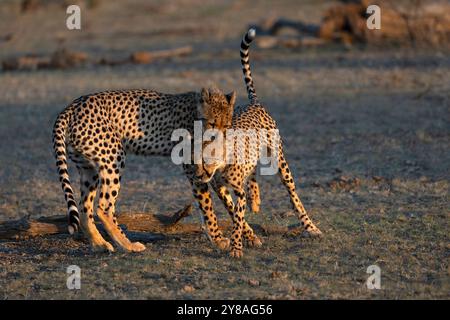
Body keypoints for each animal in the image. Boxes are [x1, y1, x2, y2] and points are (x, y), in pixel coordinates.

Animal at [52, 87, 236, 252]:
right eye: (212, 123)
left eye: (226, 125)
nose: (218, 139)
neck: (195, 114)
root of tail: (72, 106)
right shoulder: (192, 169)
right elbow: (207, 205)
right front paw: (218, 239)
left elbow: (227, 200)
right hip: (114, 157)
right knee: (104, 207)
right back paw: (129, 245)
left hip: (89, 168)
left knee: (84, 208)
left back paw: (100, 245)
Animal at [185, 29, 322, 258]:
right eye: (194, 159)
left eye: (207, 159)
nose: (197, 175)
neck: (221, 167)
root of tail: (254, 103)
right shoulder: (221, 189)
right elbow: (233, 212)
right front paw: (243, 238)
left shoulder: (235, 189)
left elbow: (238, 218)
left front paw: (236, 247)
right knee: (253, 173)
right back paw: (255, 198)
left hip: (280, 161)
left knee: (293, 195)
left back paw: (310, 227)